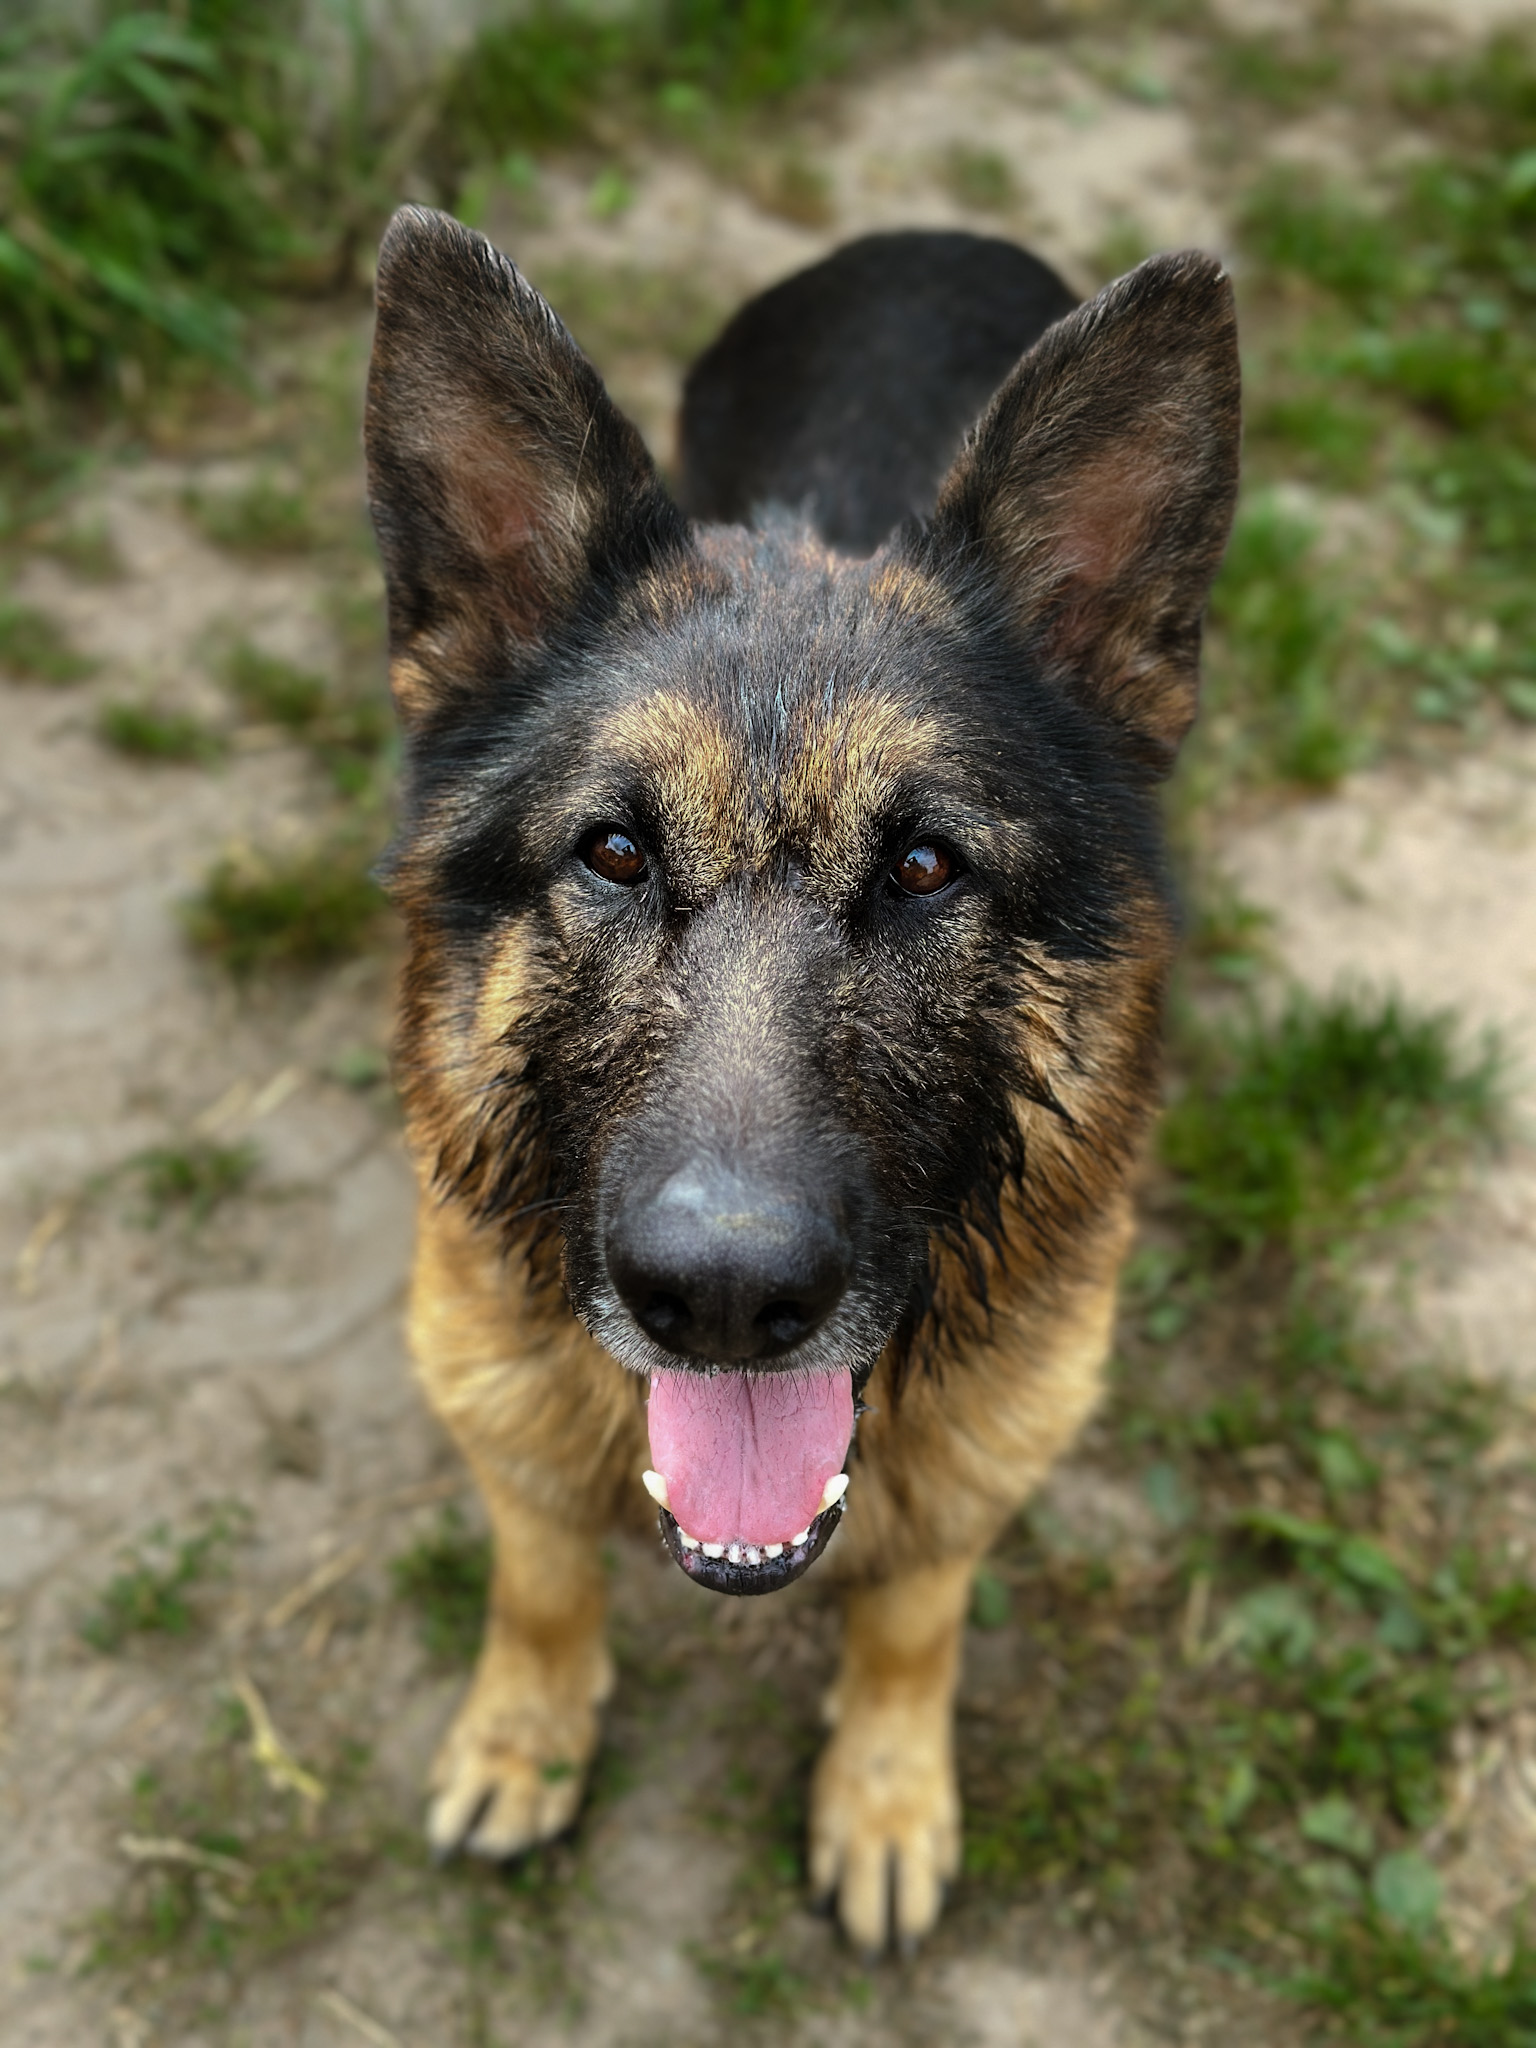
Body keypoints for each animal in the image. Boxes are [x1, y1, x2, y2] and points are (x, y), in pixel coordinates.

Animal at [363, 212, 1239, 1953]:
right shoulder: (506, 1427)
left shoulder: (977, 1477)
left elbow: (911, 1627)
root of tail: (929, 229)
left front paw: (884, 1793)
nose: (718, 1296)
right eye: (614, 852)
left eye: (924, 867)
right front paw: (524, 1736)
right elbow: (540, 1586)